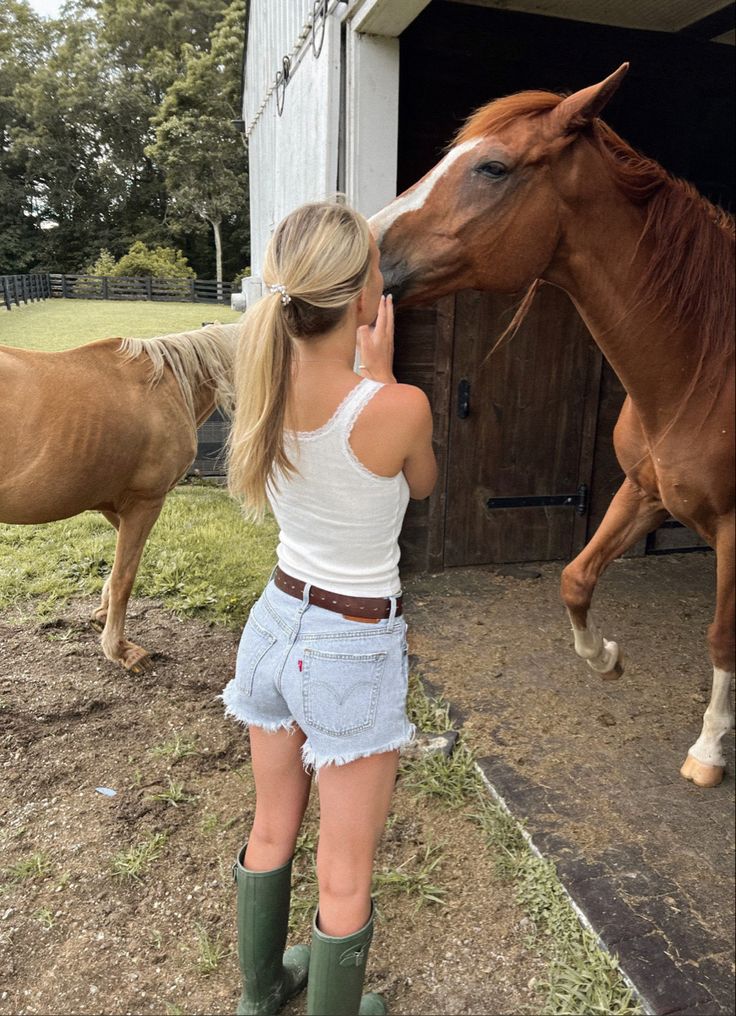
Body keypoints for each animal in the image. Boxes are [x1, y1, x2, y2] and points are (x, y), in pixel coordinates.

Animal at [0, 325, 239, 670]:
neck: (169, 384)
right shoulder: (145, 503)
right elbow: (124, 576)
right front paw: (120, 648)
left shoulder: (114, 504)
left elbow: (118, 568)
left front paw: (101, 614)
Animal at [374, 67, 736, 788]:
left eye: (492, 167)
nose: (362, 246)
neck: (705, 370)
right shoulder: (643, 492)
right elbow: (575, 577)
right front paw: (608, 659)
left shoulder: (735, 531)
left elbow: (719, 638)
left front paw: (710, 750)